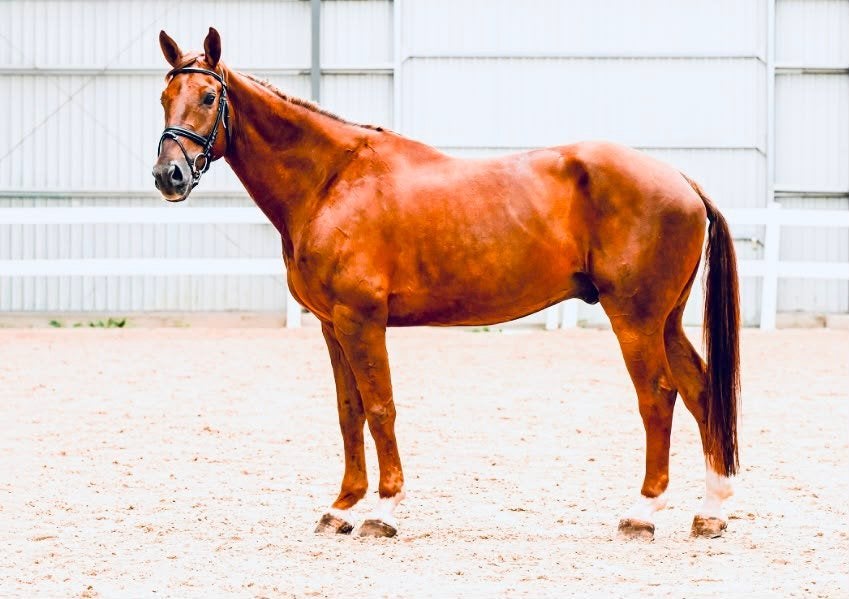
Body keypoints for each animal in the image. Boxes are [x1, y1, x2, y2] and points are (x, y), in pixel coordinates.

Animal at [153, 28, 740, 540]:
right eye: (164, 97)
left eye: (208, 96)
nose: (168, 175)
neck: (332, 180)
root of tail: (681, 180)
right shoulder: (331, 325)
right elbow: (349, 413)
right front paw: (340, 508)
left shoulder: (361, 321)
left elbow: (381, 408)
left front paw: (384, 511)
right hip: (665, 321)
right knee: (700, 391)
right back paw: (710, 511)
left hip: (635, 319)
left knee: (657, 397)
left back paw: (643, 513)